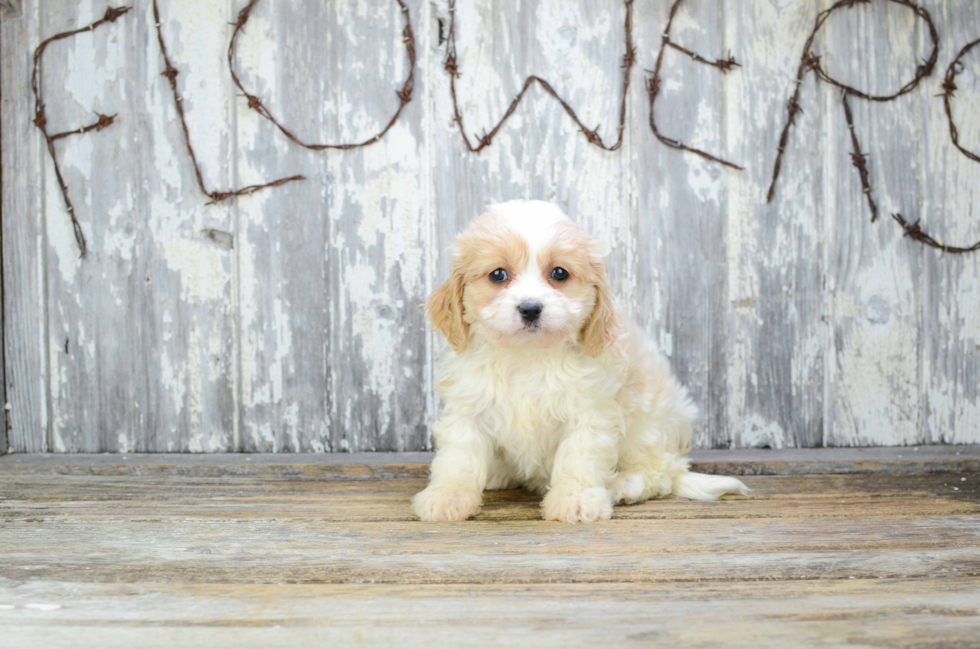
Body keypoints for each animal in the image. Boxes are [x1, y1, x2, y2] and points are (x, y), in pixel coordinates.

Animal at [410, 200, 748, 524]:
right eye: (498, 274)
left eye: (559, 273)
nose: (530, 308)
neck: (527, 354)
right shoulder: (468, 406)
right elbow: (459, 456)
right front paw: (446, 497)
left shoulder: (588, 412)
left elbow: (577, 457)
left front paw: (577, 501)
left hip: (650, 427)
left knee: (659, 473)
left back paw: (623, 485)